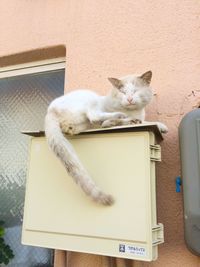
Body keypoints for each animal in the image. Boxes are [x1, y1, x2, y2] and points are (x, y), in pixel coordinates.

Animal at [45, 71, 167, 207]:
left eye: (135, 91)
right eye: (123, 92)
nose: (129, 99)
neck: (133, 112)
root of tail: (50, 111)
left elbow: (146, 121)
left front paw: (161, 126)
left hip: (80, 125)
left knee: (83, 124)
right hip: (90, 97)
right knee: (95, 117)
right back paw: (119, 117)